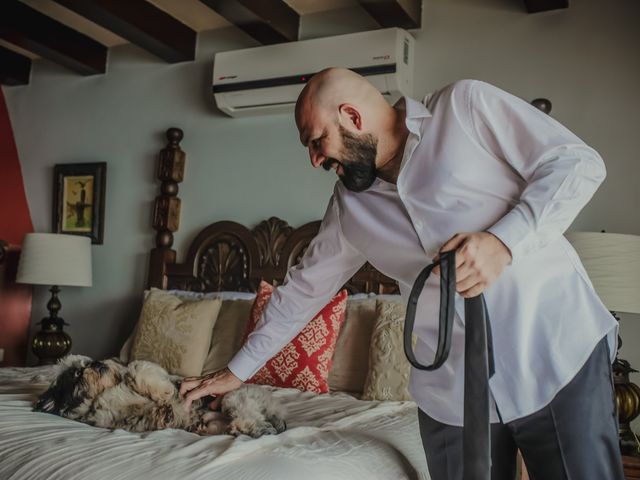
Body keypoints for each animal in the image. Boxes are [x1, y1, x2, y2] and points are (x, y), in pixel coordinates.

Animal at [34, 354, 284, 436]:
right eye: (77, 373)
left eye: (87, 362)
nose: (97, 363)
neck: (104, 393)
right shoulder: (117, 418)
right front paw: (165, 410)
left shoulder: (147, 372)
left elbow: (135, 370)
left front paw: (164, 393)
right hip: (223, 414)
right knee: (247, 420)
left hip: (233, 399)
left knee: (251, 415)